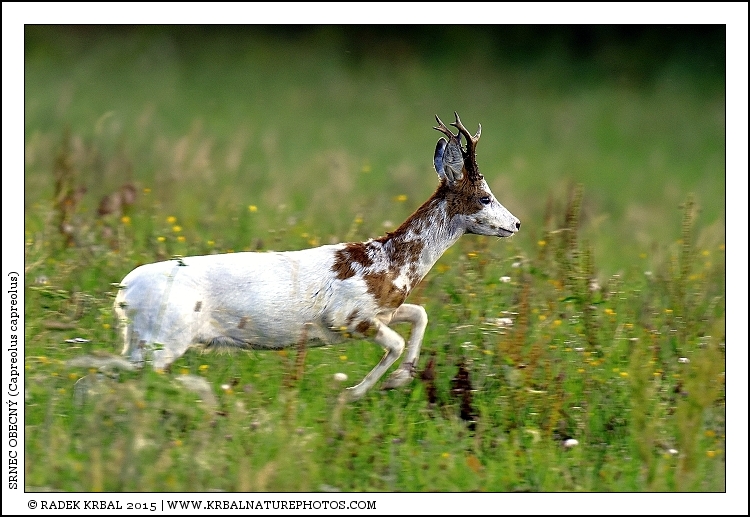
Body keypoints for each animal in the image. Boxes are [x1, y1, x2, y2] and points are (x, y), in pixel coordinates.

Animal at [113, 113, 520, 401]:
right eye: (485, 197)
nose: (516, 223)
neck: (391, 265)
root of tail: (125, 292)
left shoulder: (384, 309)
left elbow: (419, 315)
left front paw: (402, 378)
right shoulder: (348, 315)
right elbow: (396, 342)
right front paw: (355, 392)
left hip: (145, 339)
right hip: (164, 336)